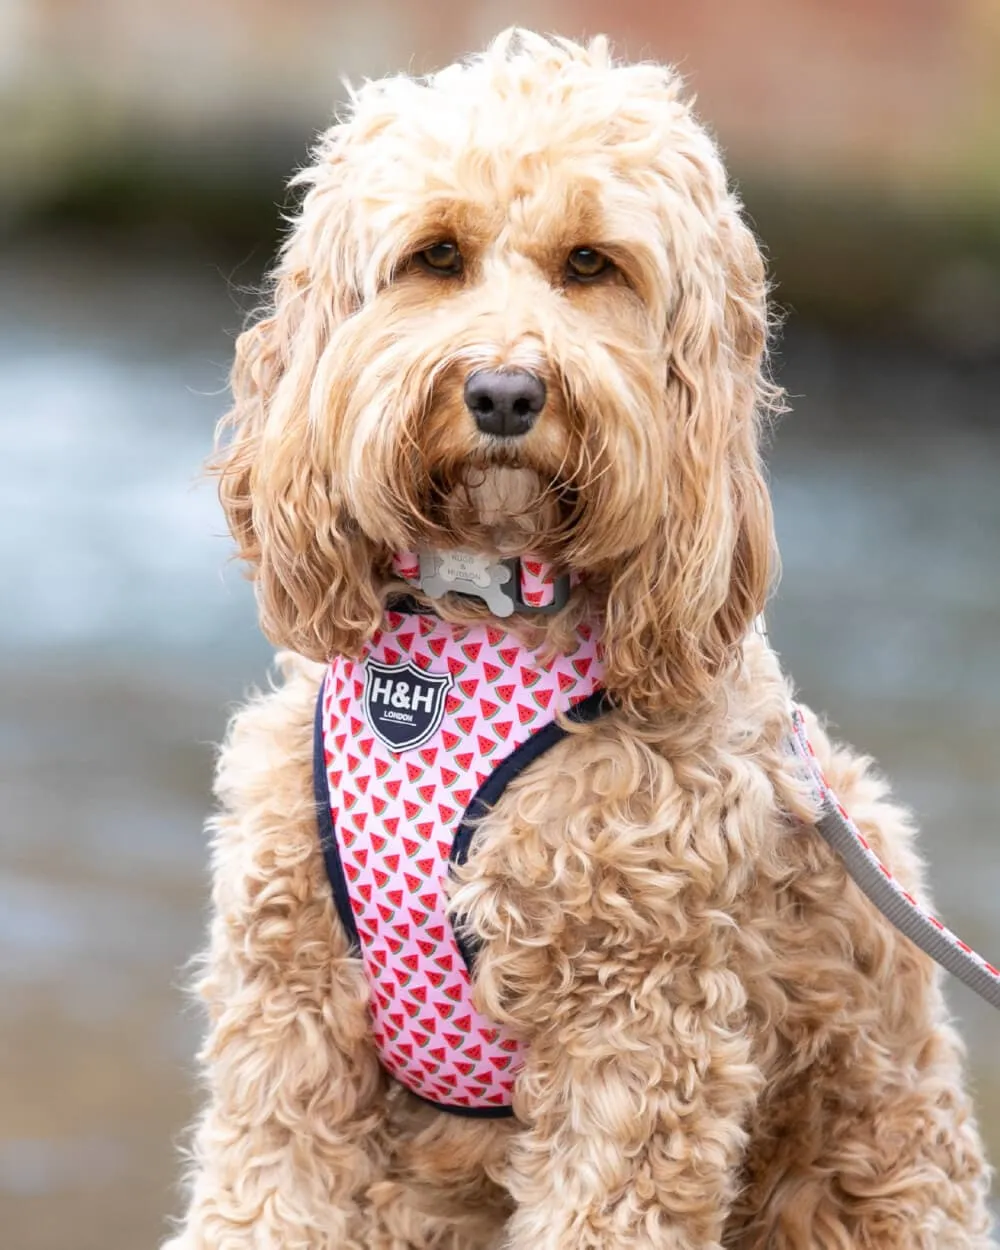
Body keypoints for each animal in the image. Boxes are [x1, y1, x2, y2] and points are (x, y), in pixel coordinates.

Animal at [167, 26, 995, 1250]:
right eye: (437, 256)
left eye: (591, 265)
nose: (506, 391)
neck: (477, 626)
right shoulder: (293, 1017)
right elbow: (265, 1191)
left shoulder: (641, 1031)